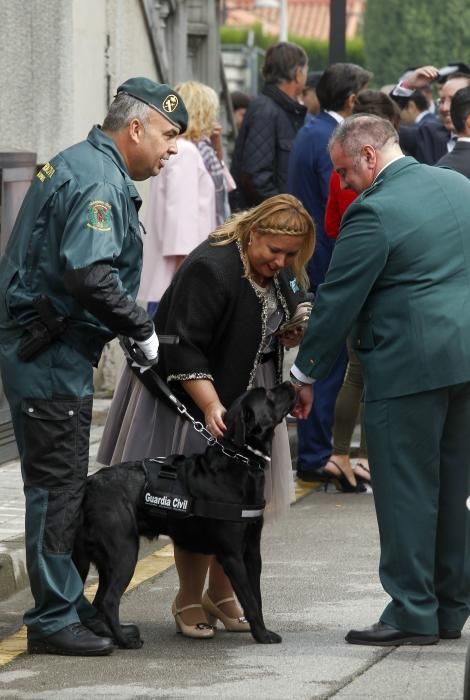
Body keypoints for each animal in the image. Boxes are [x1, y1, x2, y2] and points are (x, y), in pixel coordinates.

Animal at [72, 382, 296, 652]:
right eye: (268, 394)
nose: (290, 384)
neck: (239, 461)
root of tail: (90, 484)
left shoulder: (252, 551)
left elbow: (257, 597)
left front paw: (260, 629)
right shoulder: (232, 555)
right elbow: (250, 600)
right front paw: (262, 636)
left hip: (94, 559)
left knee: (97, 601)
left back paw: (112, 635)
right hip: (123, 552)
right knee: (109, 600)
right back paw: (125, 641)